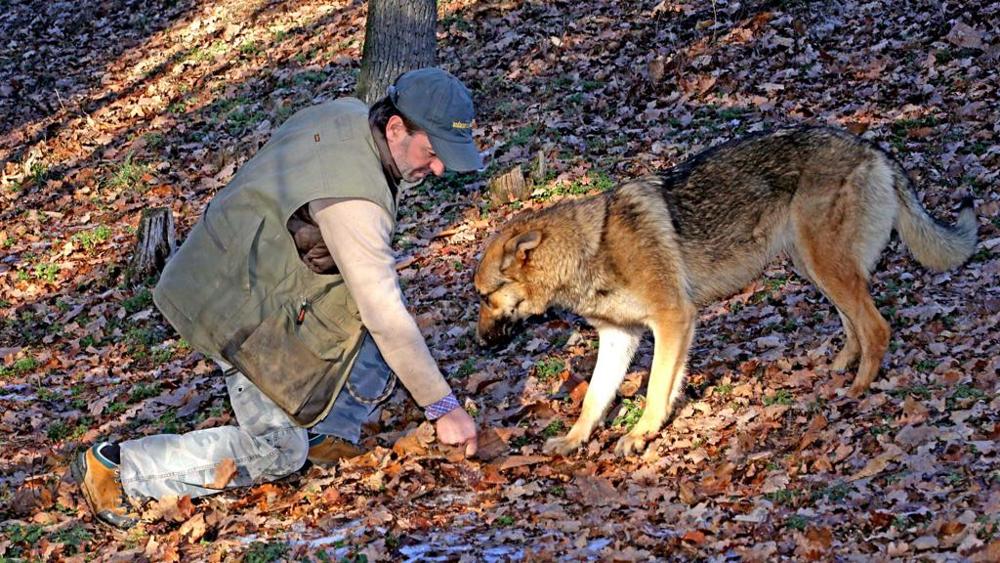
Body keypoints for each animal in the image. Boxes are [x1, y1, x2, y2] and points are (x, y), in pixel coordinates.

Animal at [474, 125, 976, 456]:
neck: (591, 249)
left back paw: (857, 389)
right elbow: (597, 397)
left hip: (826, 267)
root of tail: (873, 149)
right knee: (853, 323)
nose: (478, 342)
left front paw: (640, 434)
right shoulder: (621, 338)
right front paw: (576, 439)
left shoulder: (672, 320)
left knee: (877, 328)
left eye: (483, 297)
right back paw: (837, 369)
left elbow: (654, 388)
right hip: (813, 267)